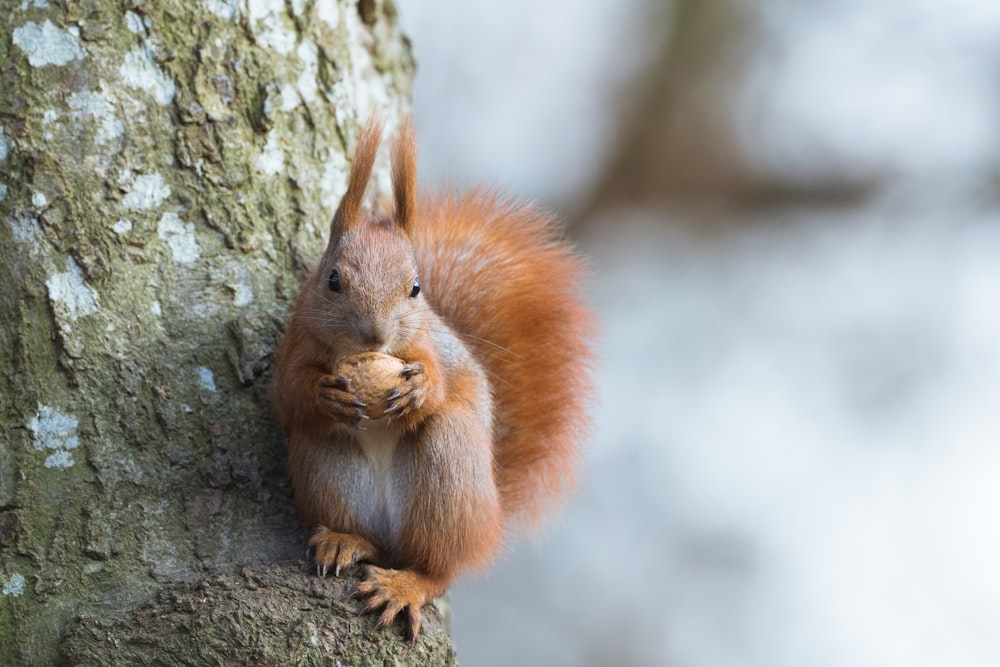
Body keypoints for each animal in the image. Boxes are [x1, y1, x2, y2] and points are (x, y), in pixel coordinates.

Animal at [270, 120, 592, 640]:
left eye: (415, 288)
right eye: (333, 280)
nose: (375, 334)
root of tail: (491, 524)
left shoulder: (432, 348)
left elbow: (447, 380)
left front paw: (419, 389)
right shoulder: (296, 342)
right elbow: (286, 395)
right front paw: (324, 392)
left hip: (451, 470)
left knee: (436, 569)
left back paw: (406, 585)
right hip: (325, 462)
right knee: (373, 534)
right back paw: (345, 539)